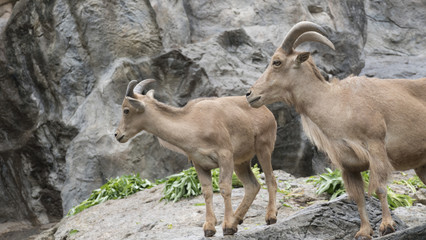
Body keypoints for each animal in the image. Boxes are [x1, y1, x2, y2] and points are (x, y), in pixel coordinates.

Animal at [115, 79, 278, 237]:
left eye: (126, 110)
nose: (117, 135)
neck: (194, 123)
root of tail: (267, 112)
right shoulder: (200, 164)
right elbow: (206, 192)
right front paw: (210, 228)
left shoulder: (225, 156)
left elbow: (225, 188)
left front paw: (227, 226)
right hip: (241, 162)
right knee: (252, 186)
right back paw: (237, 219)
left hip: (263, 148)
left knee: (270, 179)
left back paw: (270, 216)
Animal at [245, 21, 426, 240]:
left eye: (277, 62)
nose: (249, 94)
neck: (338, 103)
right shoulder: (349, 165)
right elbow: (358, 197)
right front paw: (364, 231)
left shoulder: (375, 147)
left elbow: (380, 188)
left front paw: (387, 226)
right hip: (422, 164)